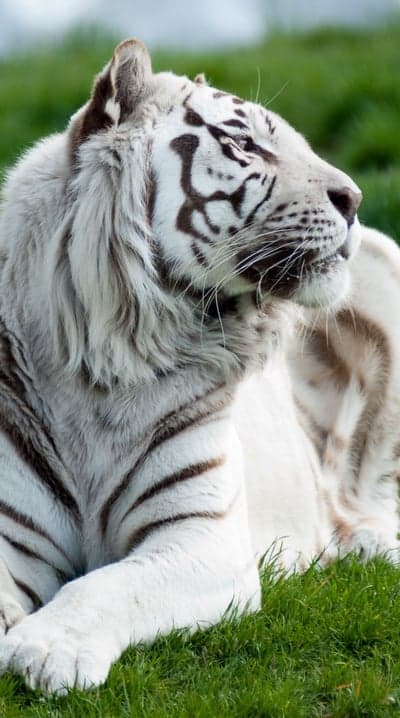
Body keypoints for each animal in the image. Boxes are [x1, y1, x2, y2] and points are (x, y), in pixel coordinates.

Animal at [0, 38, 398, 694]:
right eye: (246, 145)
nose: (355, 200)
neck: (107, 365)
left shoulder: (203, 537)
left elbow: (108, 586)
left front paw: (47, 648)